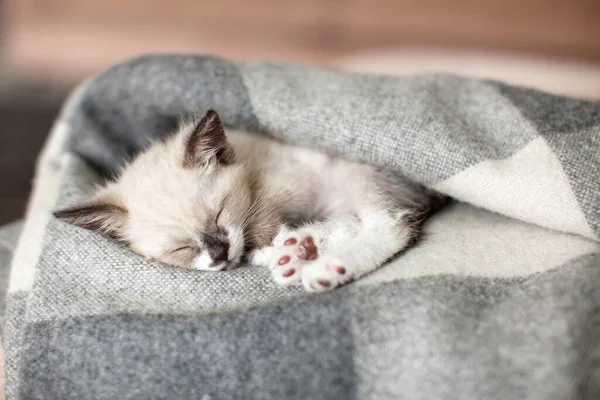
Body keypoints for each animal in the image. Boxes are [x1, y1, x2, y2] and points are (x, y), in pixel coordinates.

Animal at [56, 109, 448, 290]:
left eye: (218, 215)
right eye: (181, 249)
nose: (218, 255)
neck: (251, 164)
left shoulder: (283, 187)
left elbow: (260, 228)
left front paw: (267, 252)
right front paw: (285, 252)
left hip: (358, 174)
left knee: (391, 225)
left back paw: (325, 267)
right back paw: (300, 252)